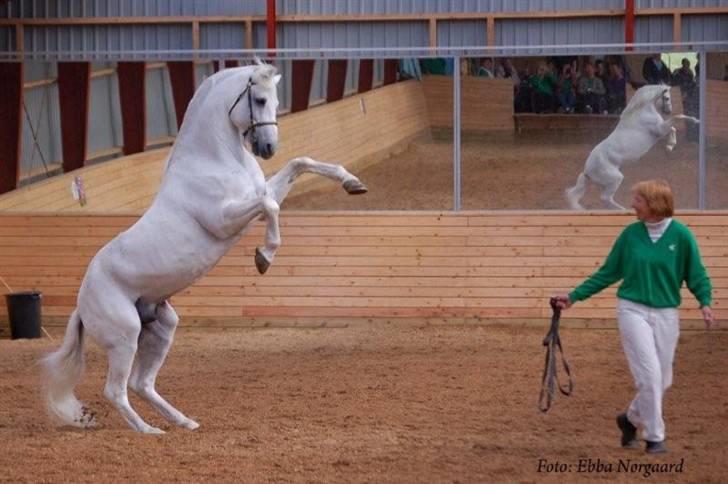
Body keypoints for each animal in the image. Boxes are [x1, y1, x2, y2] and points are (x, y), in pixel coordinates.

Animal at [42, 61, 366, 434]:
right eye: (259, 99)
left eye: (276, 100)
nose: (268, 147)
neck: (216, 160)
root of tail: (81, 306)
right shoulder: (225, 219)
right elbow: (271, 206)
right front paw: (264, 257)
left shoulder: (258, 194)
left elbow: (299, 165)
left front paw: (352, 183)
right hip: (125, 336)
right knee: (116, 390)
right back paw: (149, 431)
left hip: (161, 327)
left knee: (141, 383)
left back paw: (185, 422)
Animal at [564, 84, 700, 209]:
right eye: (666, 98)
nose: (668, 111)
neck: (642, 112)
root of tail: (587, 171)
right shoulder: (660, 130)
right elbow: (677, 119)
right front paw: (695, 121)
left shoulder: (661, 130)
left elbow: (673, 128)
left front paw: (669, 147)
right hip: (615, 179)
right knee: (606, 198)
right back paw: (624, 210)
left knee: (606, 200)